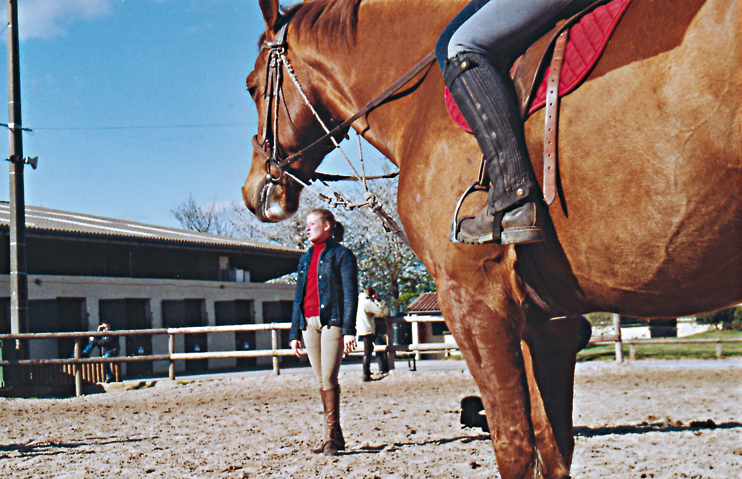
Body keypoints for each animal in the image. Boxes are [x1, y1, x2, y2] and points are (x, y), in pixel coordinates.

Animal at [244, 1, 742, 478]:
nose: (254, 193)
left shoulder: (474, 300)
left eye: (251, 87)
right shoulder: (549, 321)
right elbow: (554, 447)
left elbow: (515, 448)